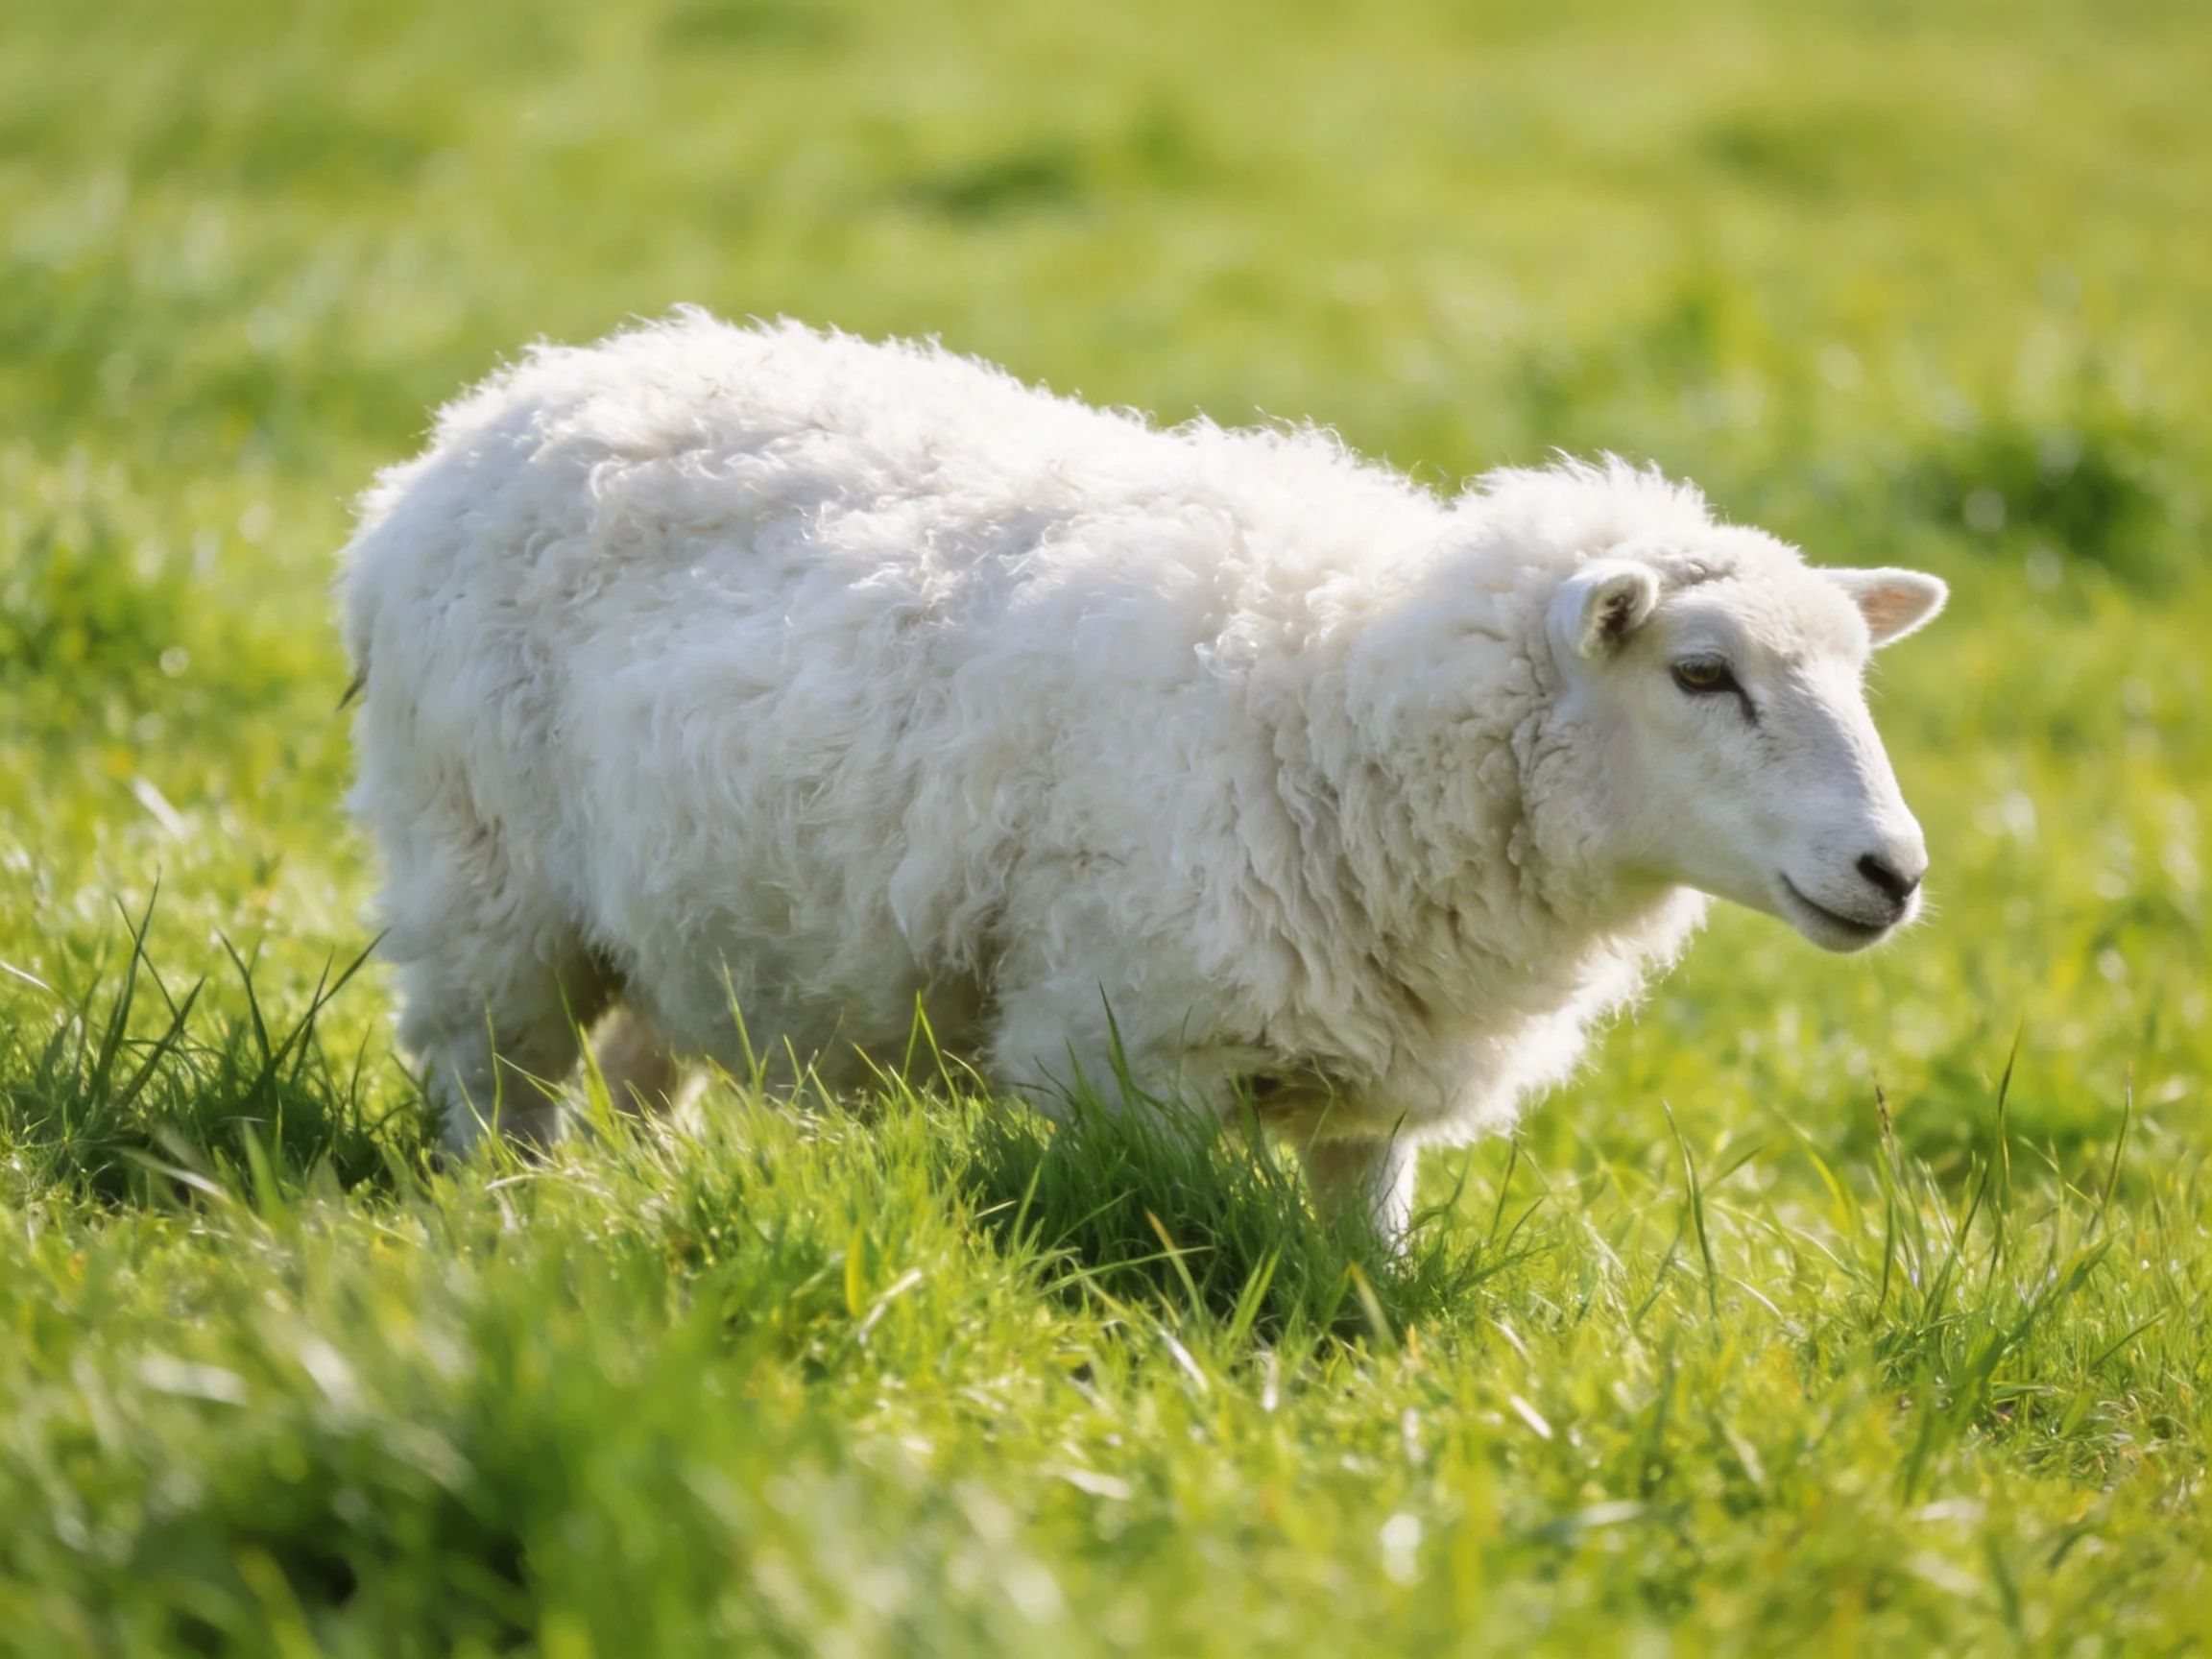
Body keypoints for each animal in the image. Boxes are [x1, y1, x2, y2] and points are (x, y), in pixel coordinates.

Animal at [338, 312, 1946, 1241]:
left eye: (1854, 676)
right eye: (1701, 675)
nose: (1896, 873)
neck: (1336, 704)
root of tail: (500, 406)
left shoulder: (1373, 1092)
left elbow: (1365, 1257)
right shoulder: (1130, 1052)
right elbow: (1151, 1238)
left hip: (681, 915)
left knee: (638, 1072)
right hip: (484, 878)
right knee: (497, 1092)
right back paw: (516, 1231)